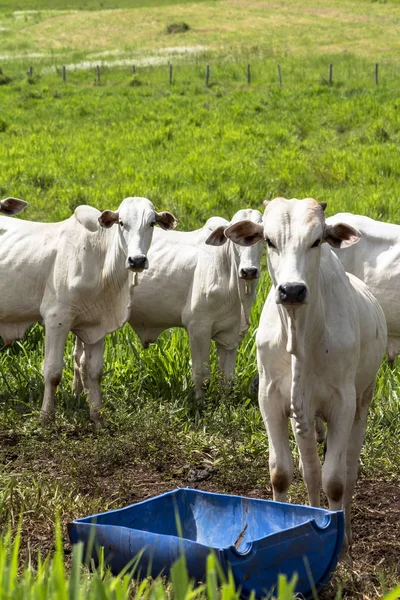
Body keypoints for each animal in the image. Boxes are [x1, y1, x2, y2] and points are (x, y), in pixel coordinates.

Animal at [73, 207, 264, 408]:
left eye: (261, 237)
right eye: (234, 238)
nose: (249, 271)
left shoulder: (230, 336)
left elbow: (227, 380)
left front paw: (225, 409)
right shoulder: (198, 328)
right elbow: (202, 376)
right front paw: (201, 408)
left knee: (78, 357)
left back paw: (77, 396)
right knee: (83, 361)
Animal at [223, 199, 386, 556]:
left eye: (316, 241)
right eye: (269, 241)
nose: (293, 290)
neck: (301, 334)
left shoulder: (343, 404)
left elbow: (335, 480)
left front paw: (341, 545)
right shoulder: (271, 399)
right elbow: (283, 473)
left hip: (363, 399)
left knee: (349, 468)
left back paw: (345, 528)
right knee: (309, 470)